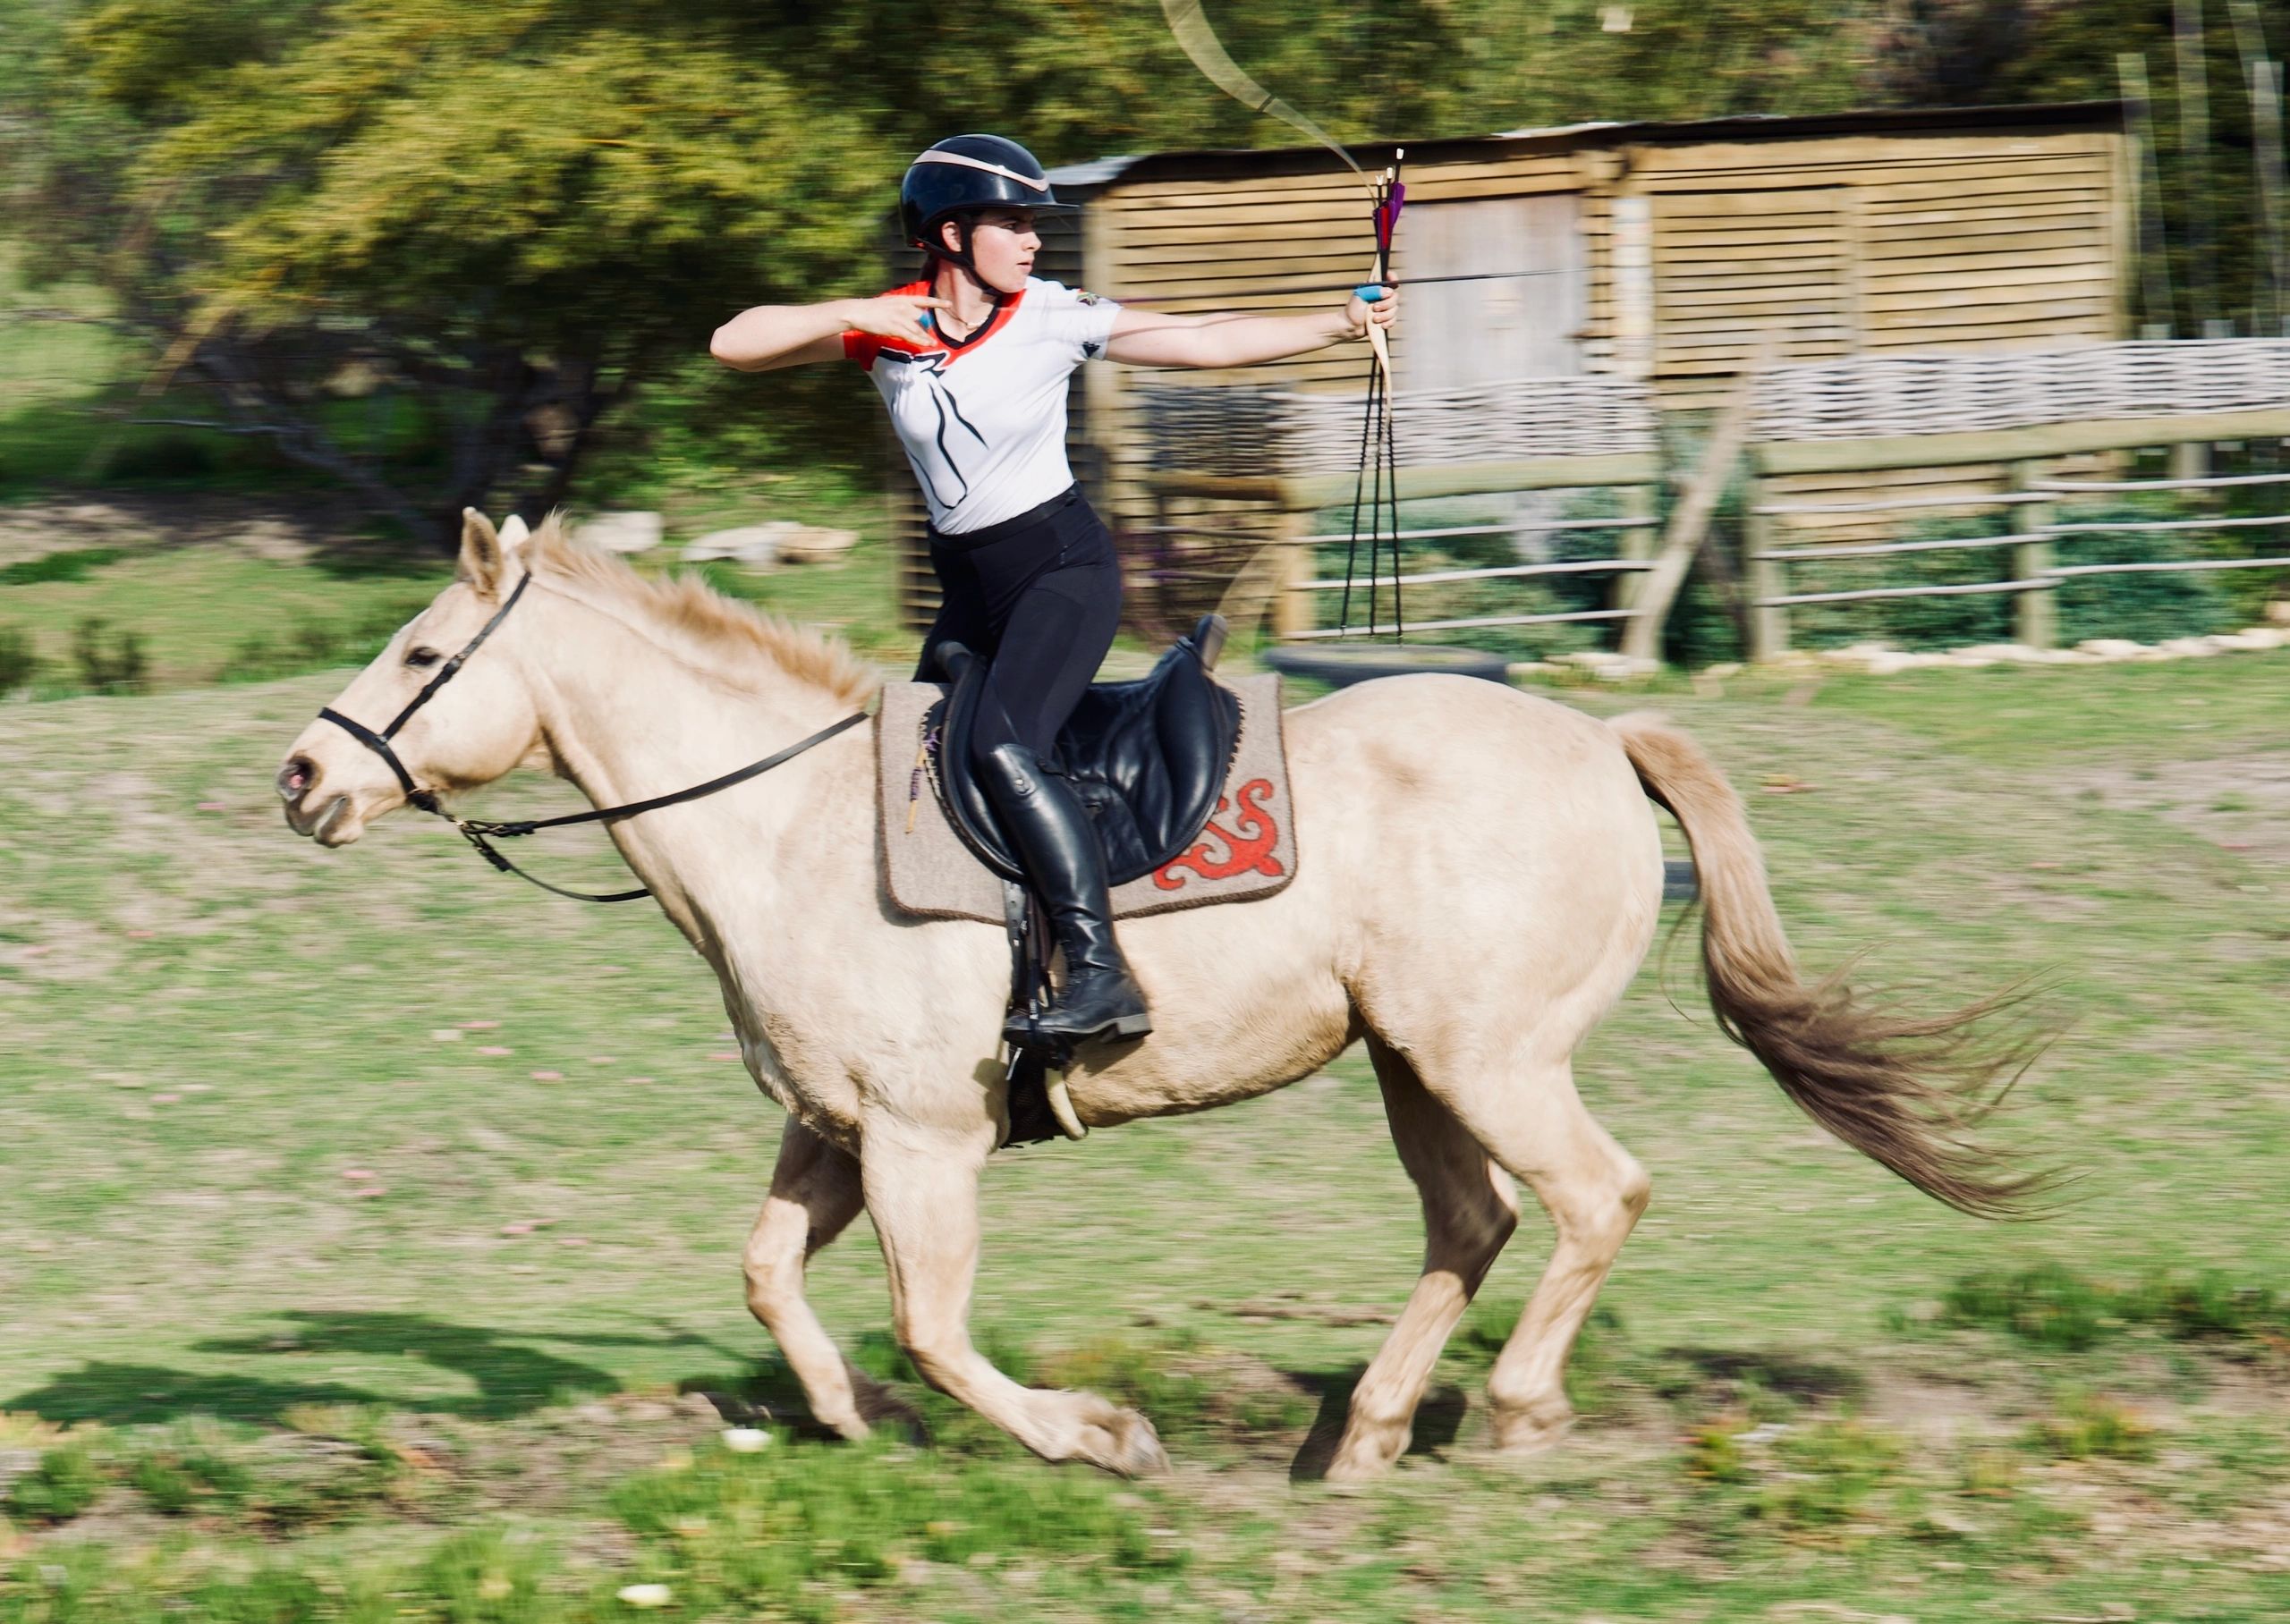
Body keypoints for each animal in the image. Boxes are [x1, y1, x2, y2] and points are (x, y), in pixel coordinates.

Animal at [276, 510, 2033, 1479]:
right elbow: (772, 1278)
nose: (301, 778)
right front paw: (843, 1420)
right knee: (1473, 1225)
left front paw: (1094, 1436)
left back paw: (1517, 1414)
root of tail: (1604, 739)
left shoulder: (921, 1143)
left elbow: (932, 1325)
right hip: (1411, 1063)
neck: (784, 823)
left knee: (1597, 1198)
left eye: (421, 657)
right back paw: (1362, 1437)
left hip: (1491, 1059)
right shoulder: (840, 1132)